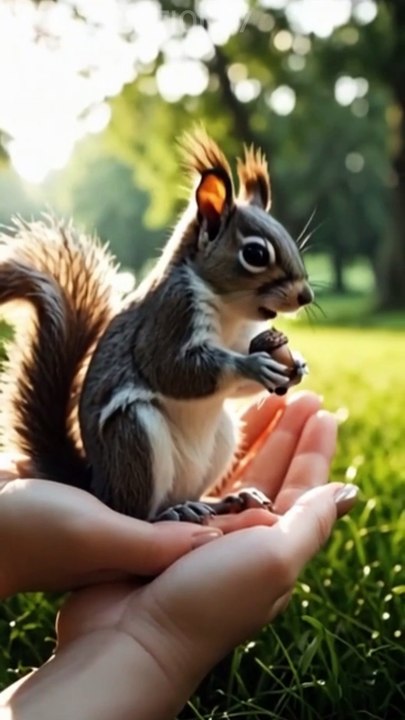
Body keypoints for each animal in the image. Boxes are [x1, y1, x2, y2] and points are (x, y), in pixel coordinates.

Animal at [0, 130, 313, 523]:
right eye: (255, 254)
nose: (306, 296)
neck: (230, 310)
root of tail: (98, 487)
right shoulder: (170, 313)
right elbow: (170, 368)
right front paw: (252, 365)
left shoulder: (244, 334)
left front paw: (296, 365)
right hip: (134, 435)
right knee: (138, 512)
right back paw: (172, 513)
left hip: (222, 437)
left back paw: (226, 500)